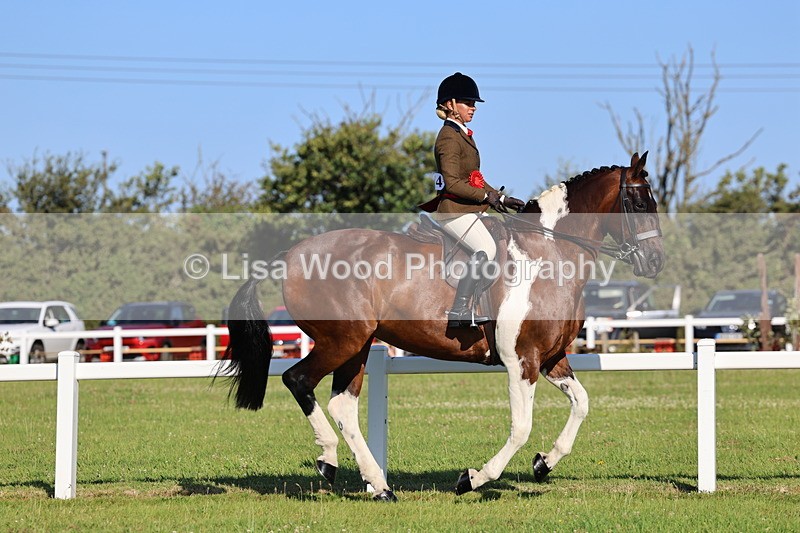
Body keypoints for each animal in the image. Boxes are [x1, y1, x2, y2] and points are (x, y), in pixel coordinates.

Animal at [220, 151, 664, 501]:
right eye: (638, 201)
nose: (655, 262)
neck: (550, 253)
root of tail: (293, 254)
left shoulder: (550, 358)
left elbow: (582, 403)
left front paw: (544, 463)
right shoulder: (522, 359)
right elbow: (521, 427)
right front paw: (474, 479)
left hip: (357, 344)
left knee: (342, 404)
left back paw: (379, 486)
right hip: (341, 340)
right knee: (298, 380)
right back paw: (328, 460)